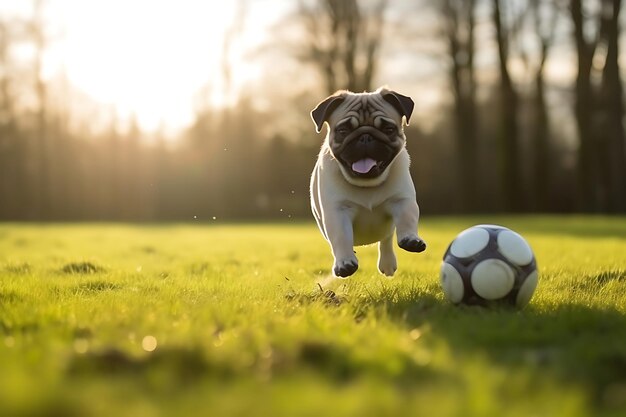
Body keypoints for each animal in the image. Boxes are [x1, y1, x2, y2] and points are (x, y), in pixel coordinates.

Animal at [308, 87, 424, 276]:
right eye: (343, 131)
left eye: (388, 129)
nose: (365, 137)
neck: (367, 184)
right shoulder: (338, 212)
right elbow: (341, 237)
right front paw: (345, 263)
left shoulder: (401, 200)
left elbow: (407, 218)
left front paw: (411, 239)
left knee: (386, 239)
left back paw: (387, 263)